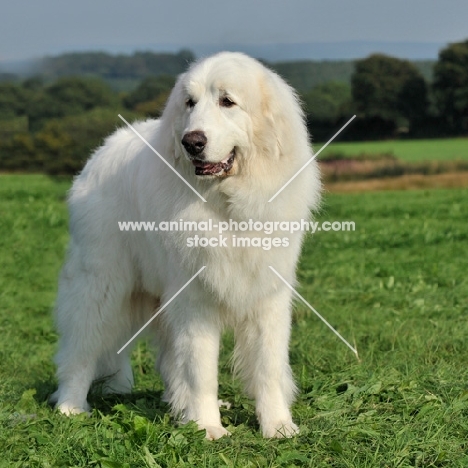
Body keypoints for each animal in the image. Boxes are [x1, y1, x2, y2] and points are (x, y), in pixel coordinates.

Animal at [51, 51, 322, 438]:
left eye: (227, 101)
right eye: (189, 103)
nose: (191, 141)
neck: (228, 205)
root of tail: (105, 147)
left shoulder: (267, 295)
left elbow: (268, 366)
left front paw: (278, 426)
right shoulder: (193, 299)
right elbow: (201, 369)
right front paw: (208, 428)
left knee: (167, 359)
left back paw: (181, 407)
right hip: (101, 285)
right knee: (81, 345)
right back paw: (70, 407)